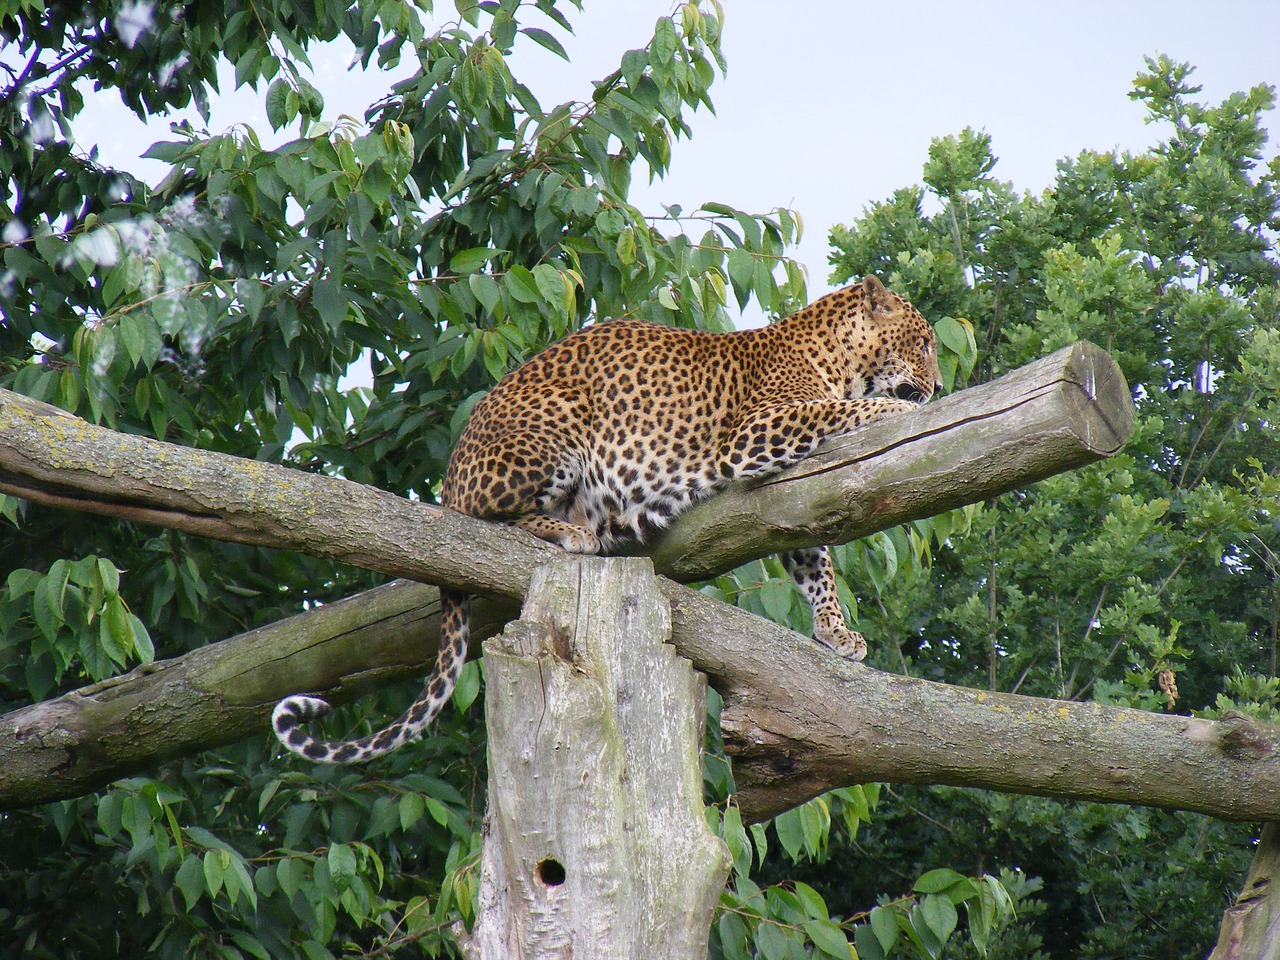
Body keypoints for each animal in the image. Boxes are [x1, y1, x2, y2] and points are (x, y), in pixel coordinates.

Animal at [275, 273, 942, 762]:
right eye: (926, 342)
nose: (938, 387)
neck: (841, 358)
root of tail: (449, 474)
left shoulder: (790, 493)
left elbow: (813, 560)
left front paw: (836, 631)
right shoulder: (752, 431)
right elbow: (837, 411)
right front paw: (893, 410)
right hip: (553, 431)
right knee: (484, 518)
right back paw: (569, 530)